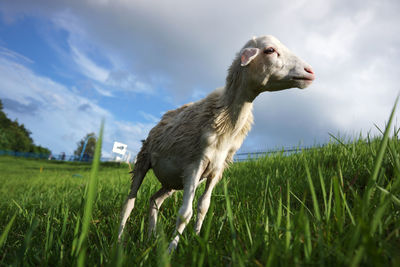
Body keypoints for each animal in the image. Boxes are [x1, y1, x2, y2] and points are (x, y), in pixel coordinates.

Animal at [118, 35, 316, 251]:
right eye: (270, 50)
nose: (310, 72)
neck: (227, 121)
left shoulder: (216, 170)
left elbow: (203, 207)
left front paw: (196, 242)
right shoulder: (195, 164)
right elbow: (185, 212)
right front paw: (172, 250)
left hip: (172, 181)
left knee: (154, 200)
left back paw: (151, 238)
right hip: (144, 159)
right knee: (129, 202)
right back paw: (119, 240)